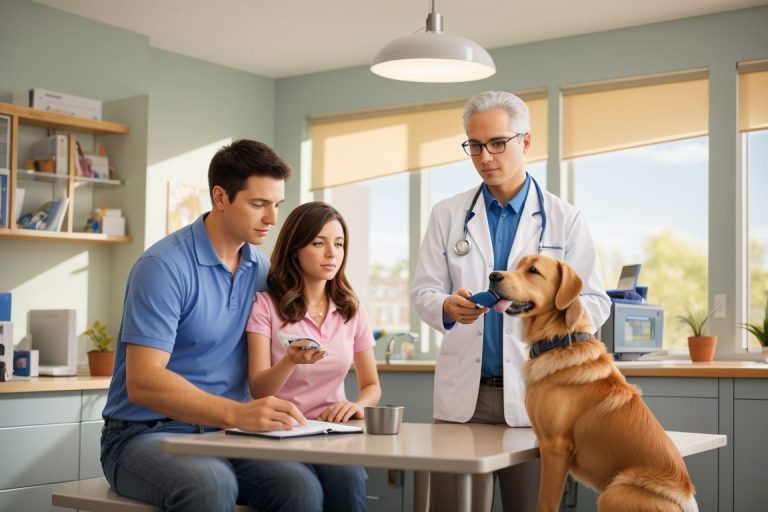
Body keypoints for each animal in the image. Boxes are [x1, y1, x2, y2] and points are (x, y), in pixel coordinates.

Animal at [492, 254, 696, 510]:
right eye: (517, 266)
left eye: (533, 270)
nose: (493, 276)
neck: (559, 340)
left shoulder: (555, 448)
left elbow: (546, 502)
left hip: (613, 492)